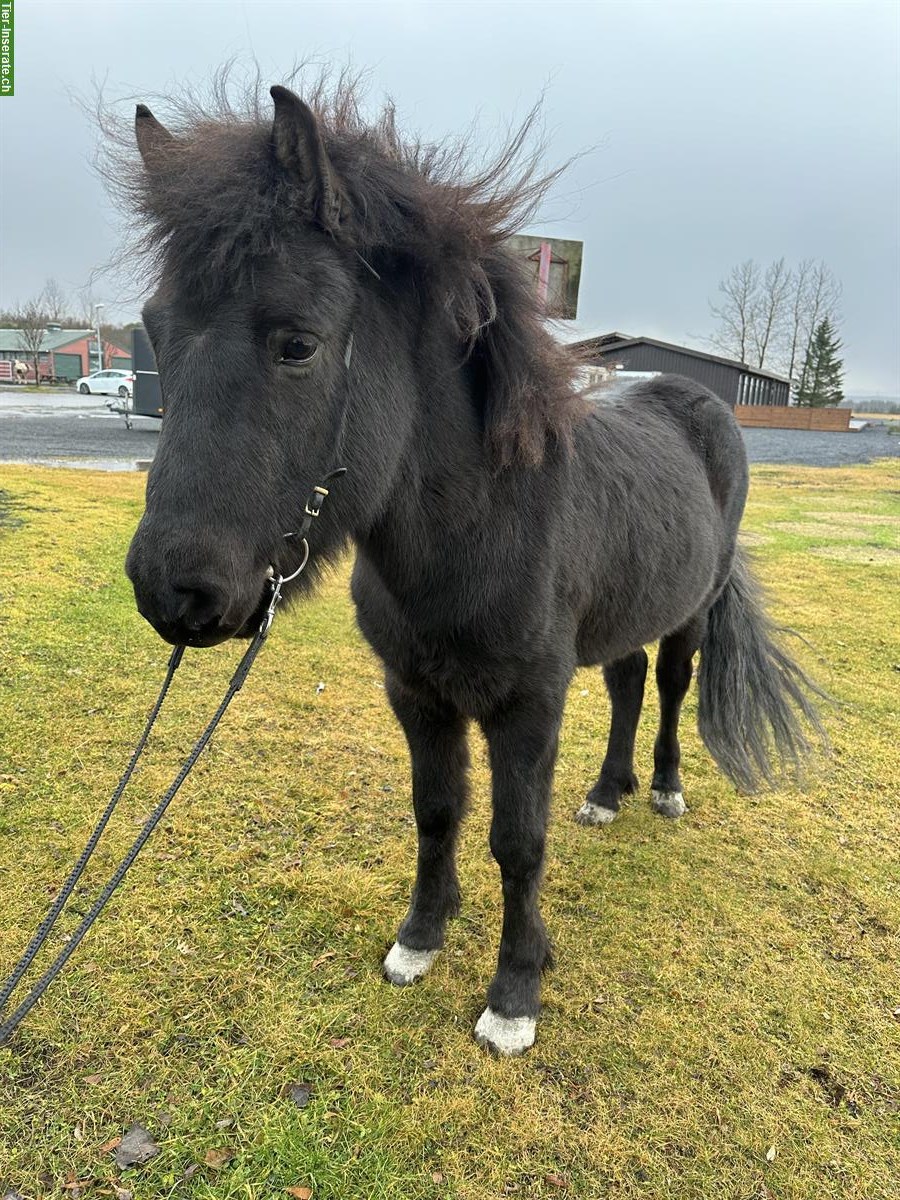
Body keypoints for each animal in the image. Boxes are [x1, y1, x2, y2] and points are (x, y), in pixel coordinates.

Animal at [120, 82, 825, 1051]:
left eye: (297, 343)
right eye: (154, 331)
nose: (172, 589)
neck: (477, 533)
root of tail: (700, 404)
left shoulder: (527, 705)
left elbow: (516, 842)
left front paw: (514, 992)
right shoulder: (417, 694)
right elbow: (437, 812)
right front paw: (420, 938)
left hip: (691, 609)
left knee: (671, 683)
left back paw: (664, 790)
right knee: (628, 681)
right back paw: (606, 792)